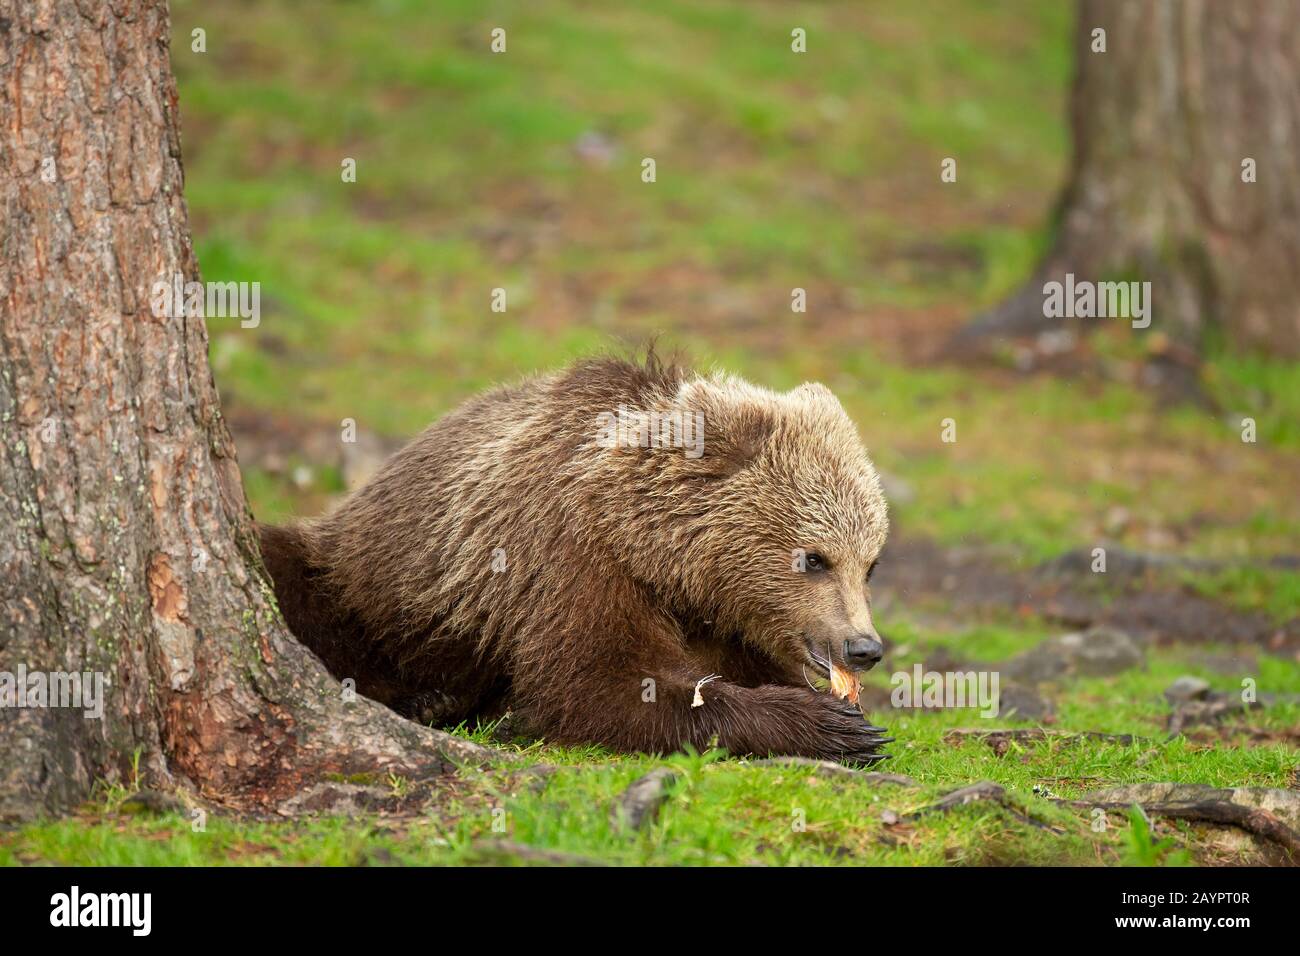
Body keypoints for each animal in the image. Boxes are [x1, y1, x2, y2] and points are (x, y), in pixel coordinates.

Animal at [260, 356, 899, 764]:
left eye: (869, 563)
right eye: (814, 558)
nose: (863, 647)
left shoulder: (716, 618)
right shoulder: (571, 562)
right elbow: (600, 687)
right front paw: (826, 723)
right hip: (359, 590)